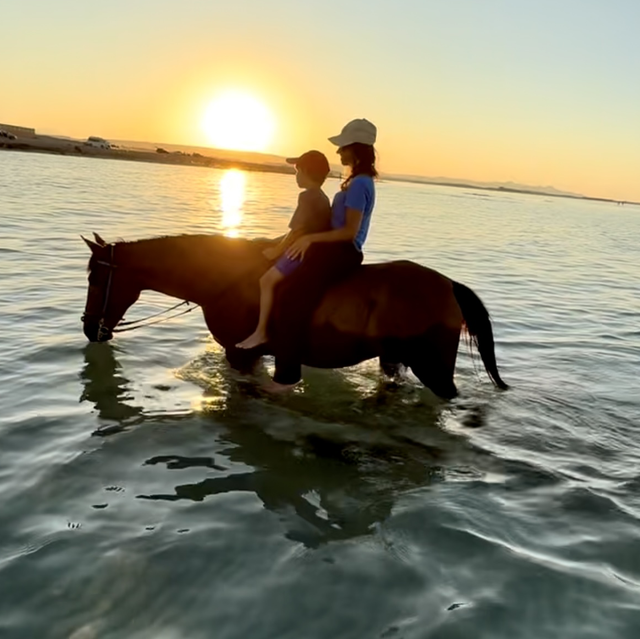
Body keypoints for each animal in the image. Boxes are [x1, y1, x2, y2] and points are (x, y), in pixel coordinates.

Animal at [81, 232, 508, 399]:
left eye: (95, 278)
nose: (89, 329)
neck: (224, 277)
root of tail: (448, 285)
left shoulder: (241, 354)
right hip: (394, 358)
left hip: (433, 368)